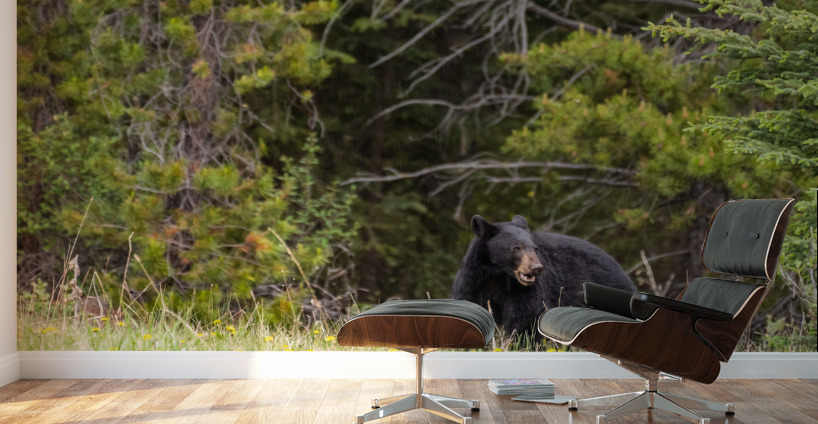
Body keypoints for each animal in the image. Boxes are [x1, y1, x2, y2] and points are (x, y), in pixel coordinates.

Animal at [450, 214, 636, 337]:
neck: (499, 276)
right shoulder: (474, 280)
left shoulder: (527, 291)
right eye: (516, 248)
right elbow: (467, 301)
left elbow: (526, 316)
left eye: (535, 248)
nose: (536, 268)